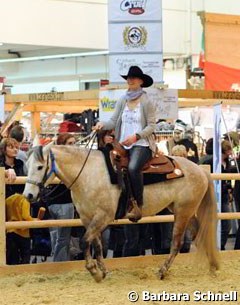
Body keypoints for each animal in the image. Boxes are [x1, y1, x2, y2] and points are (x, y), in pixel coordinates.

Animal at [23, 142, 220, 280]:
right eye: (27, 165)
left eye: (40, 167)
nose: (29, 195)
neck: (88, 173)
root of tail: (200, 170)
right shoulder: (88, 218)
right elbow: (96, 244)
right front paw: (102, 271)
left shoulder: (104, 216)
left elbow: (84, 241)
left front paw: (94, 272)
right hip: (184, 210)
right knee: (199, 233)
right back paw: (212, 266)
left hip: (183, 211)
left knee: (177, 243)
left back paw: (163, 271)